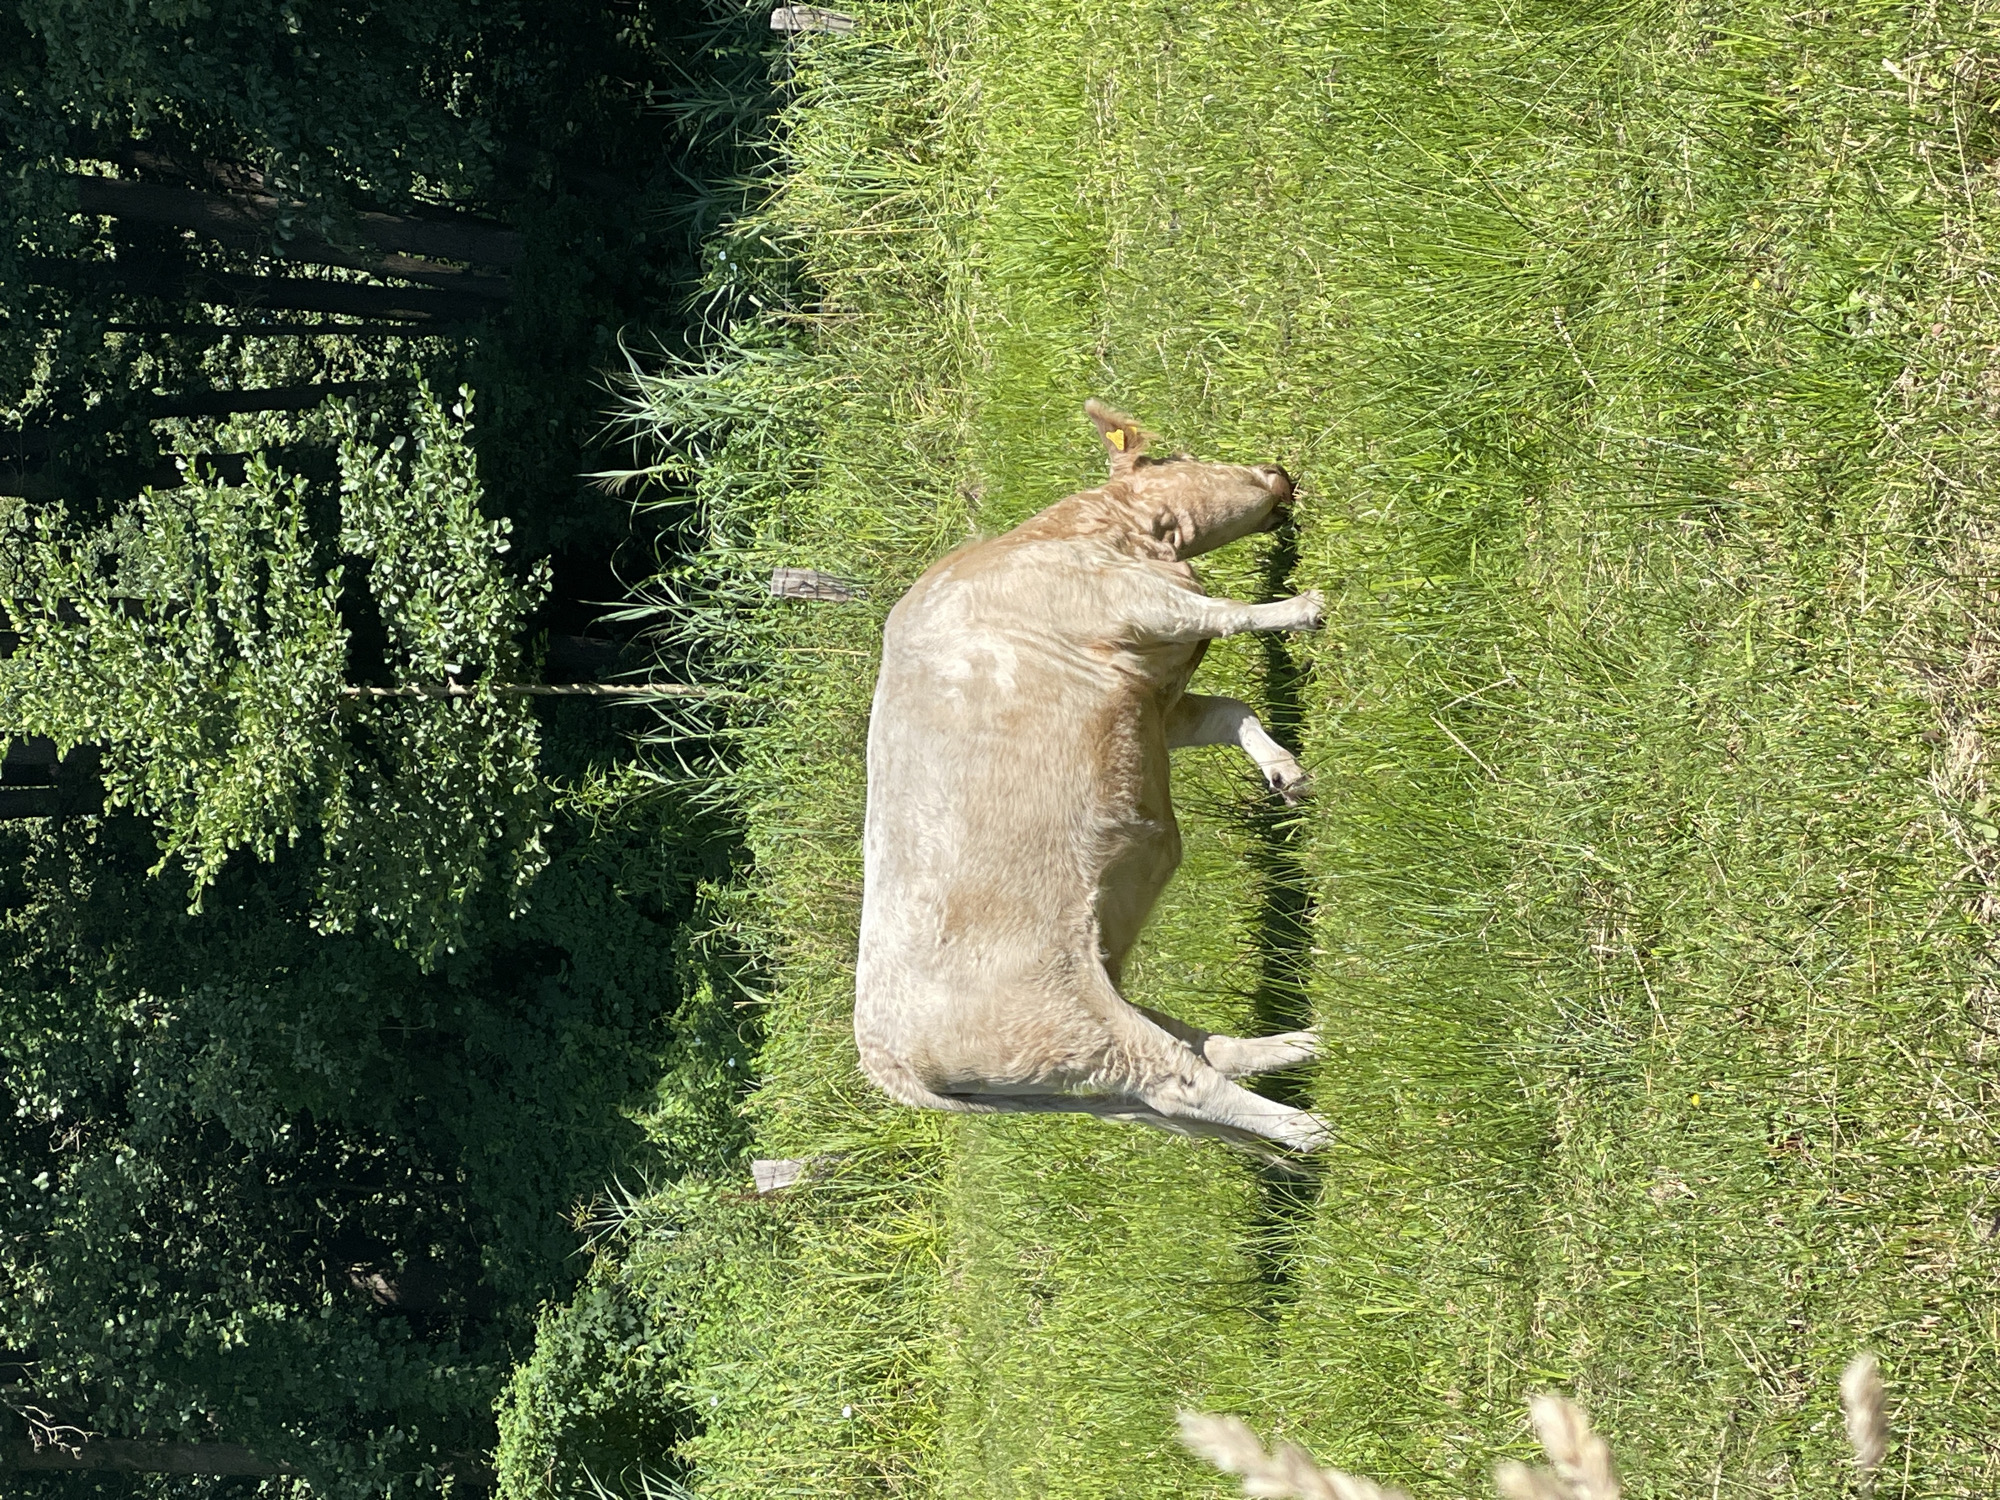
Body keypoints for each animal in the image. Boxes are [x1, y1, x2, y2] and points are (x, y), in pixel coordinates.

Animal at [852, 401, 1331, 1155]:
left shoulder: (1151, 699)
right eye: (1177, 456)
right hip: (1068, 1024)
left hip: (1084, 1039)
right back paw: (1318, 1132)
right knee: (1181, 1079)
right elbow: (1224, 614)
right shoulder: (1130, 604)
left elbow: (1231, 711)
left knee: (1201, 1051)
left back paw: (1305, 1047)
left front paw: (1286, 773)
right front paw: (1303, 607)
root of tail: (886, 1061)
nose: (1275, 469)